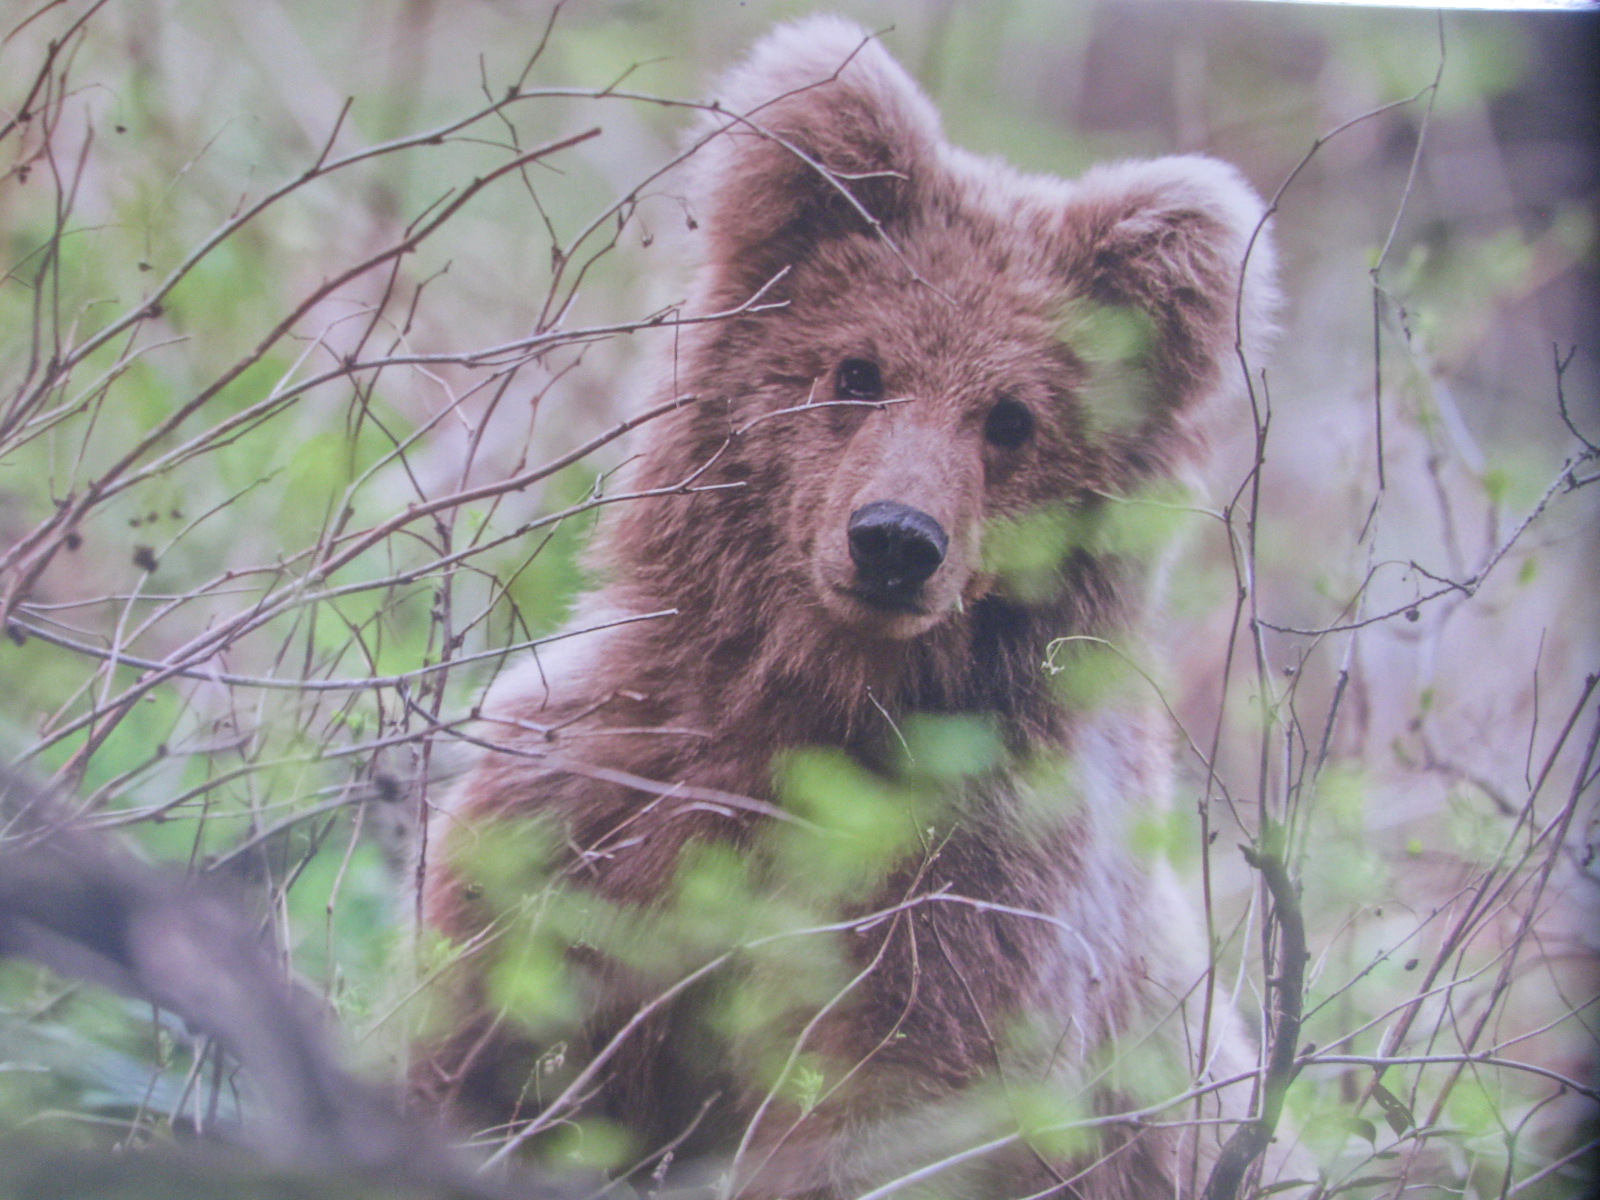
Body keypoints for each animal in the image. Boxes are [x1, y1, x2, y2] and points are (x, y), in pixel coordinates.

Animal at [412, 16, 1273, 1200]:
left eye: (1012, 419)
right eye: (857, 370)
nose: (895, 540)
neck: (821, 692)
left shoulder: (955, 908)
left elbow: (881, 1108)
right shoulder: (604, 797)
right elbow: (500, 1034)